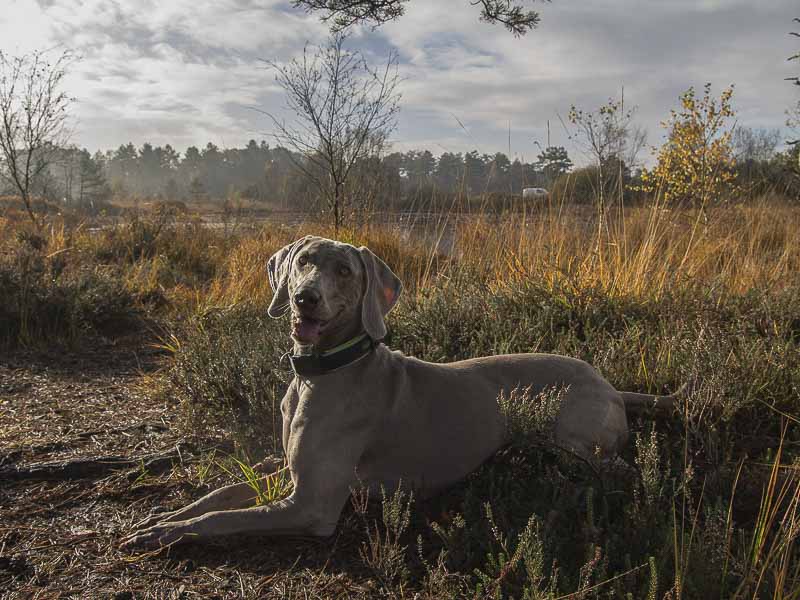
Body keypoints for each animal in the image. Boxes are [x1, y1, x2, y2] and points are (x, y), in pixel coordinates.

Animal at [122, 233, 680, 548]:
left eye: (344, 271)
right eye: (303, 262)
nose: (305, 298)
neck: (318, 374)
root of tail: (609, 383)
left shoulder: (311, 505)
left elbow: (225, 517)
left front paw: (169, 533)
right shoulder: (289, 470)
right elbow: (220, 494)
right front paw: (165, 515)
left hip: (574, 442)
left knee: (622, 472)